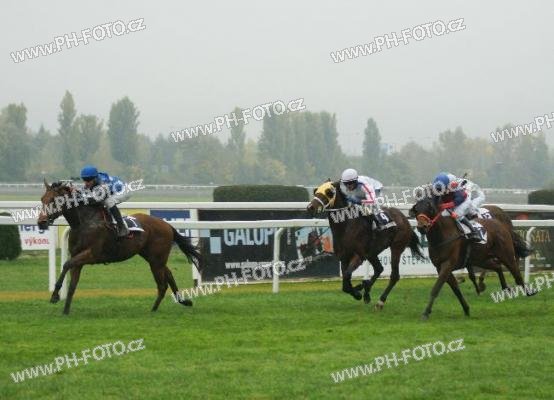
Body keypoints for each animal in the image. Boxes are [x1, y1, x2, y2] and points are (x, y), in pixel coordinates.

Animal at [37, 180, 201, 315]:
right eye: (42, 199)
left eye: (54, 200)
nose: (41, 222)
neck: (84, 223)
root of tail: (167, 224)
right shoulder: (77, 257)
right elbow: (72, 284)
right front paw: (65, 310)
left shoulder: (91, 254)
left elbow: (66, 264)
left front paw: (55, 295)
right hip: (153, 258)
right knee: (169, 275)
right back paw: (182, 301)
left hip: (156, 260)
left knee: (162, 284)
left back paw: (154, 310)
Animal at [307, 180, 425, 309]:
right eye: (316, 191)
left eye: (329, 192)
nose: (310, 207)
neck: (346, 226)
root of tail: (404, 218)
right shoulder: (344, 257)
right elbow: (345, 282)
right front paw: (358, 291)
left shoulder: (358, 256)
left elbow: (347, 276)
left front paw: (357, 293)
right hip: (372, 252)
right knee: (379, 269)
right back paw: (366, 290)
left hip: (396, 247)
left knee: (394, 276)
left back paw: (380, 301)